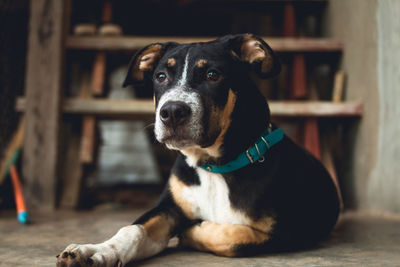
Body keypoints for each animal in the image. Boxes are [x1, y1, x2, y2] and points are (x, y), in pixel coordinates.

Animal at [56, 34, 340, 267]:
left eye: (213, 75)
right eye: (161, 76)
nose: (171, 112)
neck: (215, 166)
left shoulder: (293, 231)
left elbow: (236, 237)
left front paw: (194, 232)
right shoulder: (169, 208)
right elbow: (132, 230)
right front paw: (95, 252)